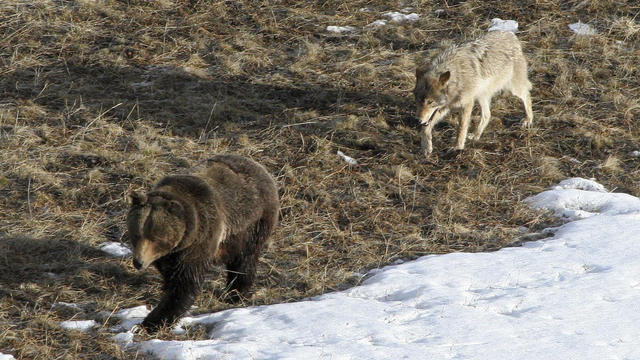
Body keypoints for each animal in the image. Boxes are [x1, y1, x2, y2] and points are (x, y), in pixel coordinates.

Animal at [127, 153, 280, 334]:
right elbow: (171, 275)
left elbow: (185, 283)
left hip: (251, 223)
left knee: (244, 259)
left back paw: (234, 293)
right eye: (136, 234)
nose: (138, 262)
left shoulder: (201, 238)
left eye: (155, 238)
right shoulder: (171, 254)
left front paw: (149, 323)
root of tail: (260, 167)